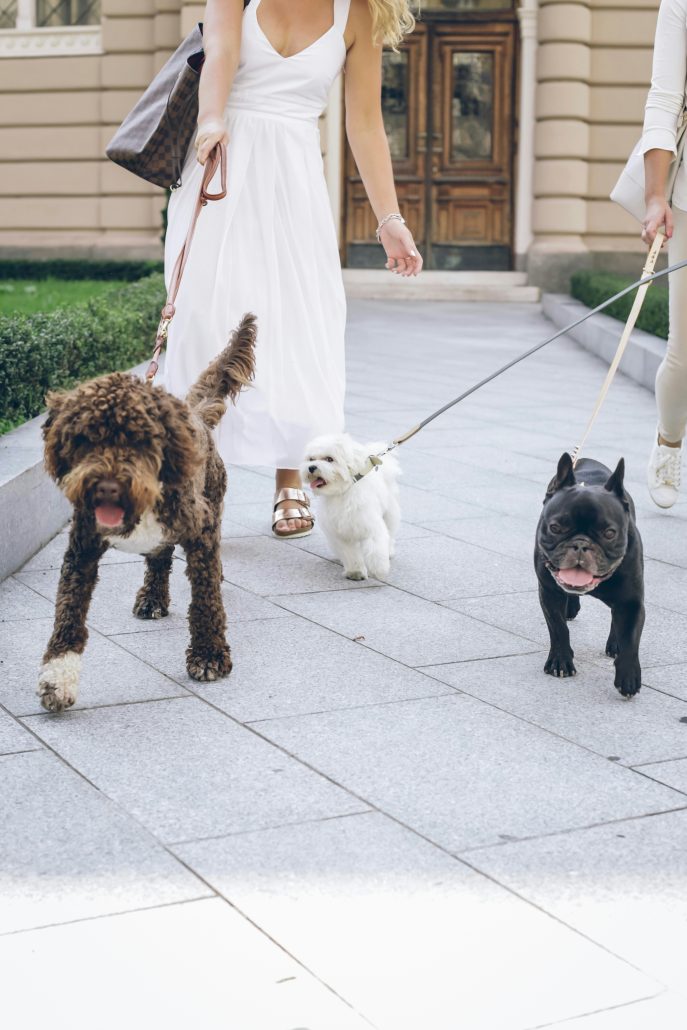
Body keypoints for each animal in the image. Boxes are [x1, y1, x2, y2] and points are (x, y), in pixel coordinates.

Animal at [38, 313, 257, 712]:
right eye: (85, 439)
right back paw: (152, 598)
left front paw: (209, 655)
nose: (107, 487)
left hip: (213, 500)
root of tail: (194, 413)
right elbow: (68, 612)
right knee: (159, 559)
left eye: (139, 440)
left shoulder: (200, 530)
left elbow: (205, 600)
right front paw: (57, 679)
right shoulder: (81, 549)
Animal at [302, 432, 403, 580]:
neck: (341, 493)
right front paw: (356, 572)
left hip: (390, 513)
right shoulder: (341, 535)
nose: (311, 467)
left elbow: (376, 548)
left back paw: (389, 551)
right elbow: (350, 554)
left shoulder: (370, 526)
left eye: (329, 459)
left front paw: (379, 569)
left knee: (390, 533)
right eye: (311, 459)